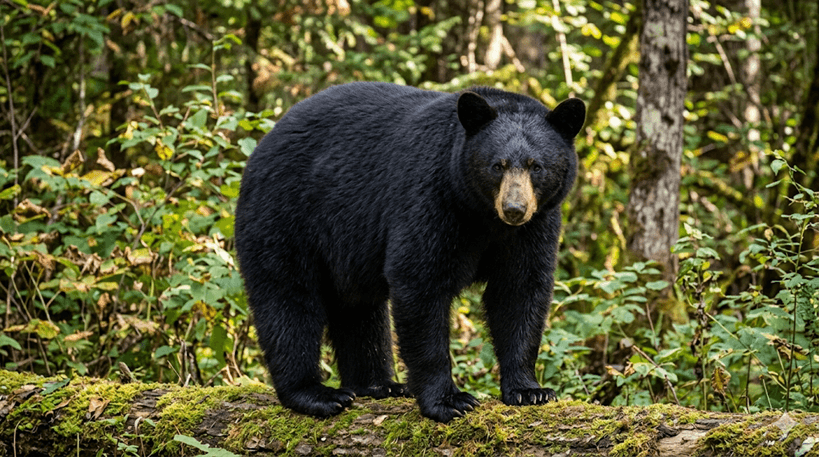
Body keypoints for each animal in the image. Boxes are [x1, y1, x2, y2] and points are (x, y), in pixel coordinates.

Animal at [234, 81, 585, 423]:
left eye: (536, 166)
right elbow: (420, 280)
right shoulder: (432, 197)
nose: (514, 208)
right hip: (286, 213)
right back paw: (316, 394)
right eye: (497, 166)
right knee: (288, 298)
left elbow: (520, 291)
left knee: (358, 309)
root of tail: (263, 143)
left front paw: (529, 390)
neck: (483, 216)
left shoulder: (534, 227)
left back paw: (378, 385)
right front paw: (448, 400)